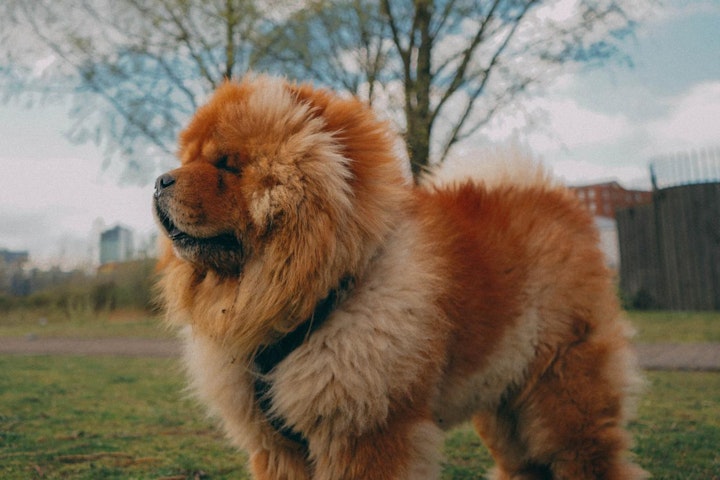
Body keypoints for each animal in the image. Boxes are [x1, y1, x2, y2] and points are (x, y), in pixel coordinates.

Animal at [153, 76, 648, 480]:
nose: (160, 180)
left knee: (586, 456)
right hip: (503, 398)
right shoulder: (277, 446)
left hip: (562, 390)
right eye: (188, 158)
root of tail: (556, 201)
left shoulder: (368, 427)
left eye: (226, 164)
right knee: (524, 464)